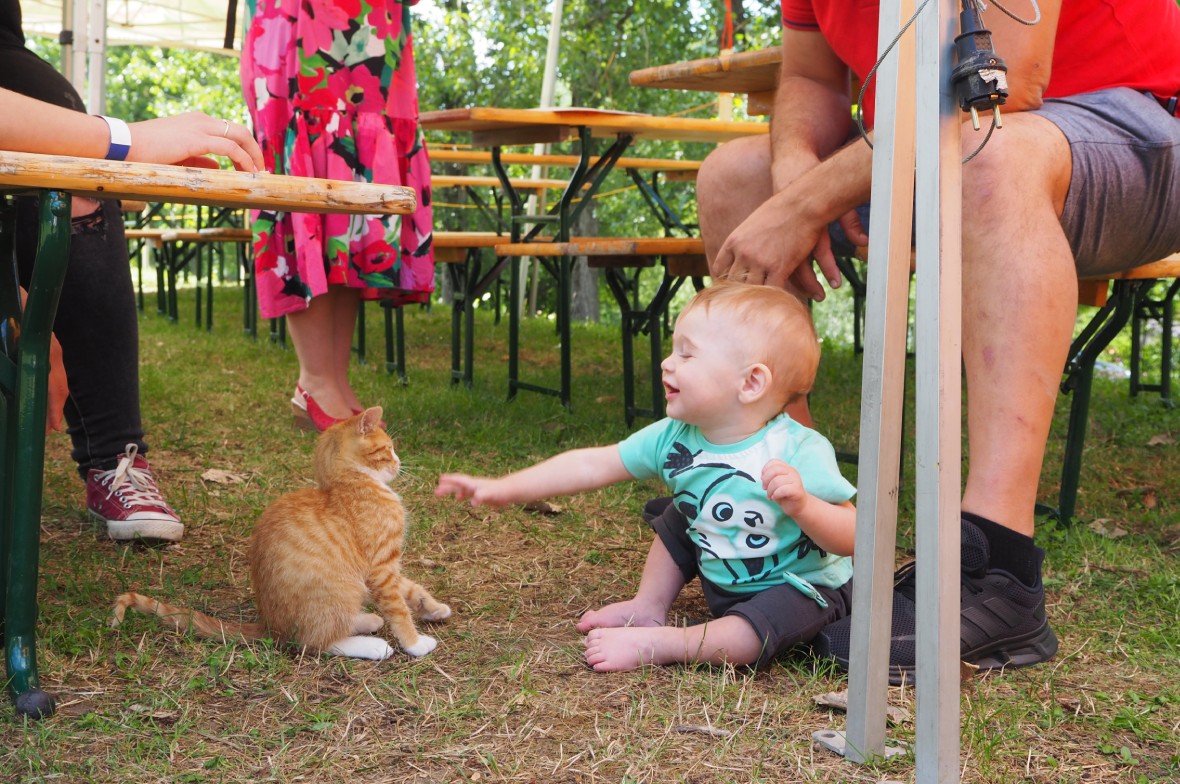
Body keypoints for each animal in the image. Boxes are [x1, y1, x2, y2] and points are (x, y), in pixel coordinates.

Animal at [111, 406, 451, 660]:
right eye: (388, 449)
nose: (399, 462)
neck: (352, 483)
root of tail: (270, 627)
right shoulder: (380, 567)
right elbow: (398, 607)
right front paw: (414, 643)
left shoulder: (386, 567)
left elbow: (411, 588)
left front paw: (432, 608)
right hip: (340, 591)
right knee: (314, 642)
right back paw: (372, 644)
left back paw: (365, 620)